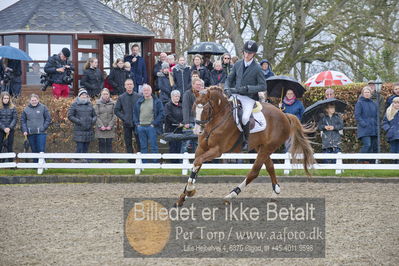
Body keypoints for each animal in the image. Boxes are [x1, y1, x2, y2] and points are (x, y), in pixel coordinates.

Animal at [177, 86, 314, 207]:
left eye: (206, 109)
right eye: (194, 107)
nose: (197, 131)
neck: (217, 120)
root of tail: (284, 115)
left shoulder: (217, 150)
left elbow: (197, 162)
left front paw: (190, 190)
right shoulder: (201, 149)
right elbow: (196, 165)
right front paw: (184, 196)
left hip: (267, 148)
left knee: (254, 172)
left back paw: (231, 195)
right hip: (261, 147)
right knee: (270, 166)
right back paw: (275, 192)